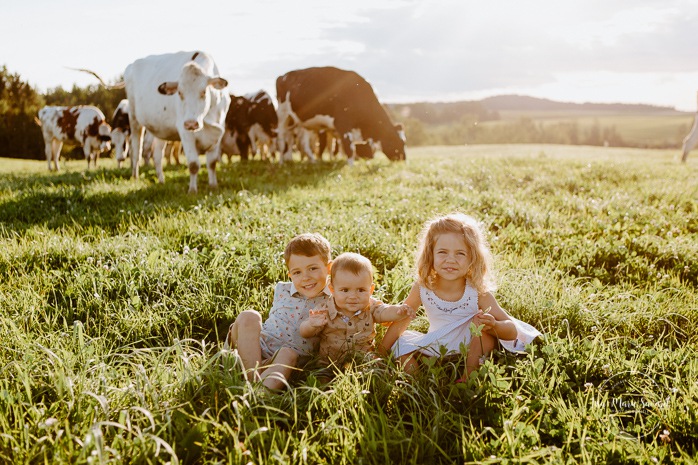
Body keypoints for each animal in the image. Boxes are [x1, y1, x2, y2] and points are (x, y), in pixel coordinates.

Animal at [274, 66, 406, 164]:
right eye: (398, 141)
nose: (403, 159)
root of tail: (283, 76)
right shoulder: (342, 123)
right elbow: (349, 147)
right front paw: (350, 167)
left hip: (297, 121)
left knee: (296, 141)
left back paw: (302, 161)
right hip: (282, 115)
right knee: (282, 140)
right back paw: (282, 163)